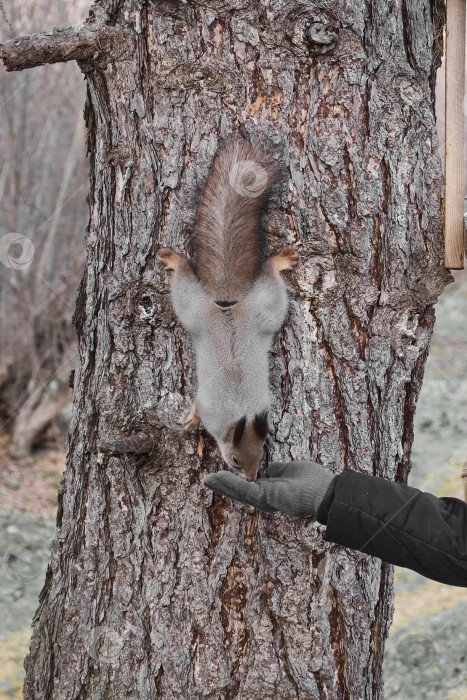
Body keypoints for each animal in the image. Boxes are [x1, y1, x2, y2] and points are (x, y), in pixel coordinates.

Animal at [159, 140, 298, 484]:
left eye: (261, 453)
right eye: (235, 460)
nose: (250, 479)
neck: (239, 414)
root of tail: (228, 305)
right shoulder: (210, 407)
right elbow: (198, 408)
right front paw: (192, 420)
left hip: (262, 311)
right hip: (204, 309)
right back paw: (176, 260)